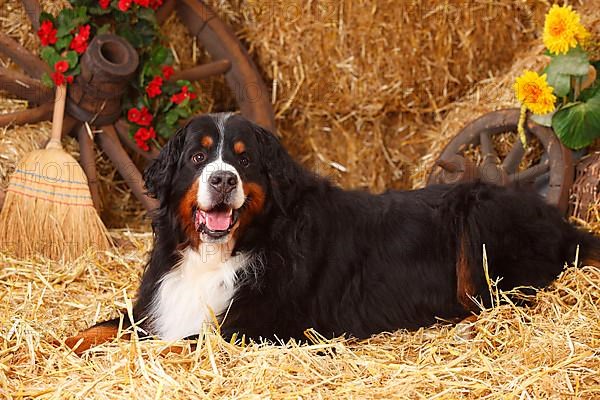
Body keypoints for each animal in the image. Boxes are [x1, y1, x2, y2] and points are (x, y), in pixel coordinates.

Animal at [63, 112, 596, 354]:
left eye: (244, 160)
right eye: (198, 156)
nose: (223, 179)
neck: (225, 252)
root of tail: (561, 221)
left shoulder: (256, 327)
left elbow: (168, 343)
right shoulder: (160, 302)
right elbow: (105, 326)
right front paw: (62, 343)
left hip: (479, 215)